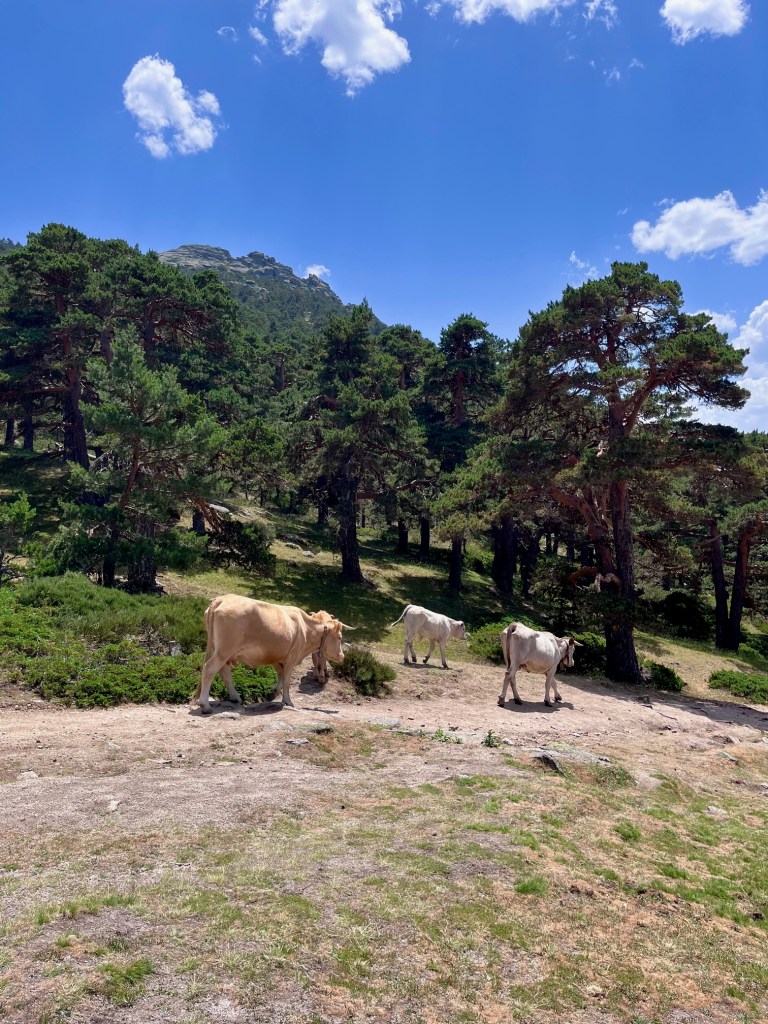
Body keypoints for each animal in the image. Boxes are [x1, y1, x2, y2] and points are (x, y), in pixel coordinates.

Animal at [194, 595, 349, 714]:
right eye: (340, 637)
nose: (342, 656)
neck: (306, 628)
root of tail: (222, 598)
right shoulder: (292, 656)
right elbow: (286, 679)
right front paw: (288, 701)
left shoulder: (276, 655)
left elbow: (280, 674)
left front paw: (273, 693)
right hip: (224, 650)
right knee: (210, 669)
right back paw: (205, 706)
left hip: (223, 652)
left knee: (224, 671)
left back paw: (235, 697)